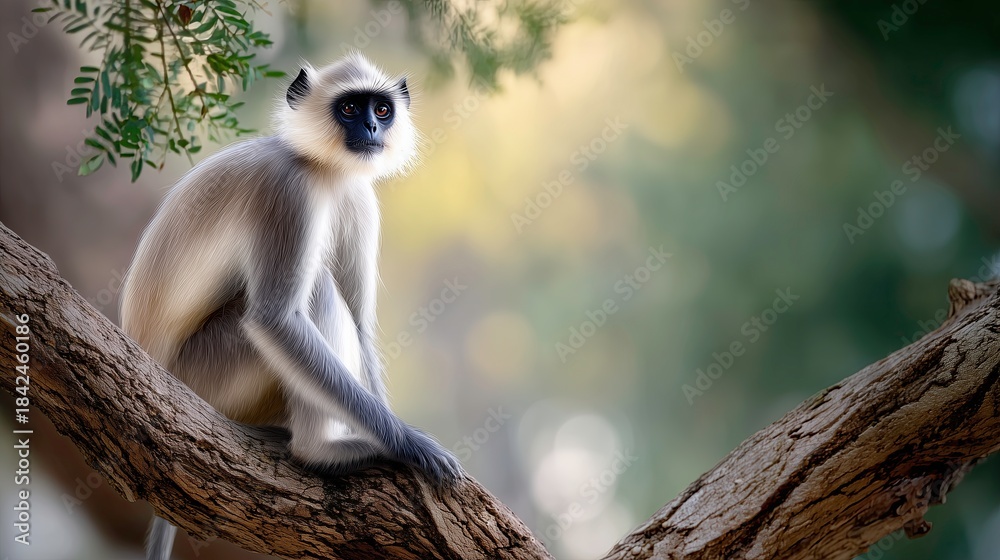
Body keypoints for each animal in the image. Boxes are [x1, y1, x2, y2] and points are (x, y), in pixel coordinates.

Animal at [119, 53, 463, 560]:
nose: (371, 128)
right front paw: (407, 445)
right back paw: (319, 451)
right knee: (314, 291)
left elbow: (362, 329)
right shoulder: (288, 189)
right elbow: (275, 320)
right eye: (351, 107)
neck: (325, 169)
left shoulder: (359, 196)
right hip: (203, 374)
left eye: (382, 110)